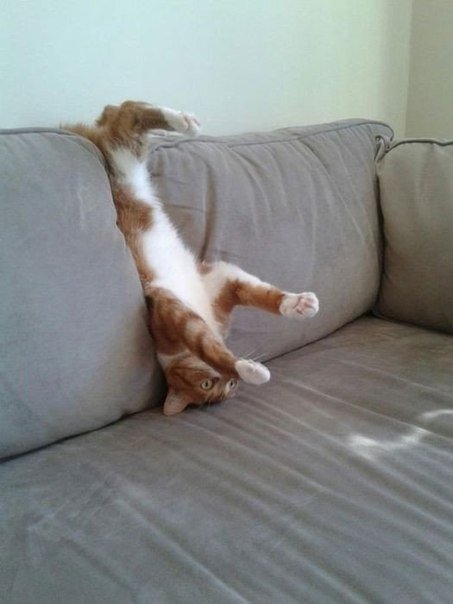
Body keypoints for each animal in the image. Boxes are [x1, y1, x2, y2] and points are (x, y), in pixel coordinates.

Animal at [66, 101, 319, 415]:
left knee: (125, 113)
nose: (229, 383)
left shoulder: (222, 283)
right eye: (208, 386)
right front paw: (248, 369)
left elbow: (263, 295)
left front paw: (296, 305)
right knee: (123, 118)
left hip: (124, 161)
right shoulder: (180, 314)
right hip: (124, 158)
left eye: (219, 385)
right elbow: (212, 348)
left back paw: (180, 122)